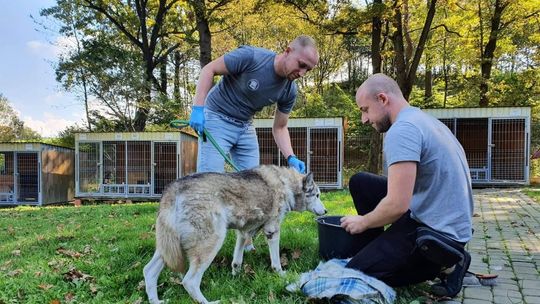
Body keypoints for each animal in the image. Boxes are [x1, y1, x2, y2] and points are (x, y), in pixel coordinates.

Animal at [142, 165, 324, 304]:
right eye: (317, 195)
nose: (326, 211)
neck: (286, 184)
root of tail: (174, 187)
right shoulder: (272, 230)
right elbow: (276, 262)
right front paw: (281, 275)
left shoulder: (243, 233)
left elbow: (237, 261)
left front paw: (236, 276)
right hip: (212, 243)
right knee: (189, 281)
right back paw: (209, 302)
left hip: (167, 250)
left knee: (148, 271)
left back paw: (156, 301)